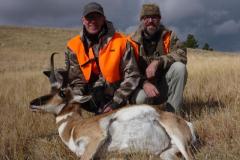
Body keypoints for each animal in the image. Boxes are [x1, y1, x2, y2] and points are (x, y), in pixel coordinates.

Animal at [29, 52, 195, 160]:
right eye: (51, 90)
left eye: (62, 93)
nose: (32, 103)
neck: (73, 126)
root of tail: (187, 123)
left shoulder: (95, 139)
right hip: (166, 153)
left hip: (178, 139)